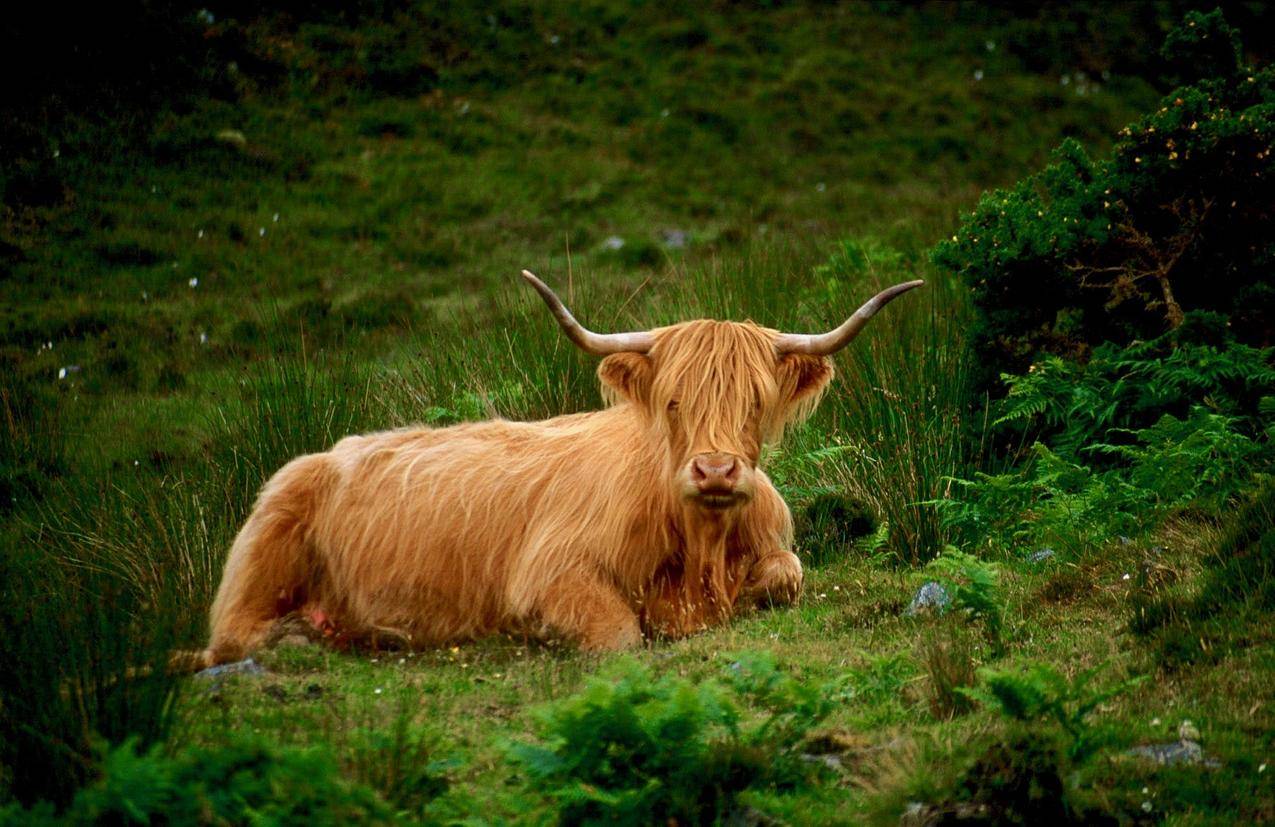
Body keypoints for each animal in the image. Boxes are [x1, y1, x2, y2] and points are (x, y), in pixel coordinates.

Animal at [198, 271, 923, 662]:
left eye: (754, 401)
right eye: (673, 400)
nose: (715, 472)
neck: (699, 546)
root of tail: (328, 451)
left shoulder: (774, 549)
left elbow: (784, 577)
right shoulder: (549, 573)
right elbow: (620, 633)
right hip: (264, 549)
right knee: (231, 638)